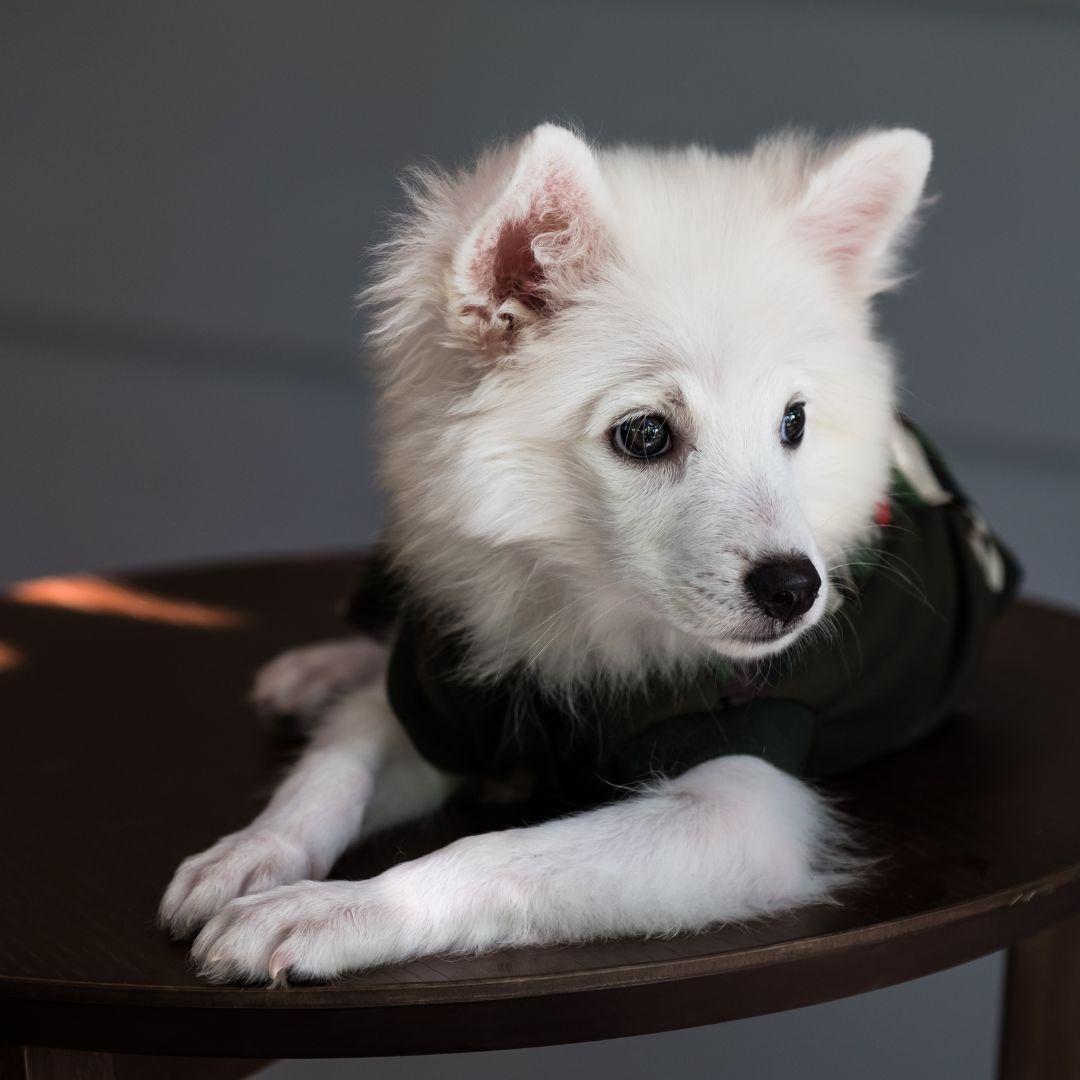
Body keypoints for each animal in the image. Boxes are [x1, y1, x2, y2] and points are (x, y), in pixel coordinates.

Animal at [157, 122, 1010, 984]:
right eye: (645, 434)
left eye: (793, 423)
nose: (796, 590)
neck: (583, 609)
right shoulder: (436, 694)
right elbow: (334, 769)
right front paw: (253, 852)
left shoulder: (739, 803)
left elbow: (494, 856)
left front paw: (336, 910)